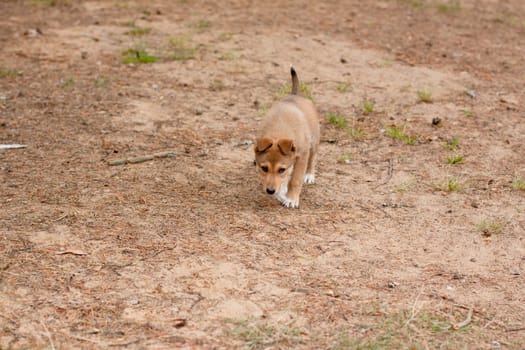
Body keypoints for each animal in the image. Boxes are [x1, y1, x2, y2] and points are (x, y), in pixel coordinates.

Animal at [254, 67, 320, 208]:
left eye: (281, 169)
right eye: (264, 168)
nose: (270, 191)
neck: (278, 132)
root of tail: (295, 94)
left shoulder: (302, 156)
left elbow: (295, 179)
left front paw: (291, 199)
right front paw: (282, 193)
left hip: (314, 142)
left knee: (312, 159)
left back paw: (309, 175)